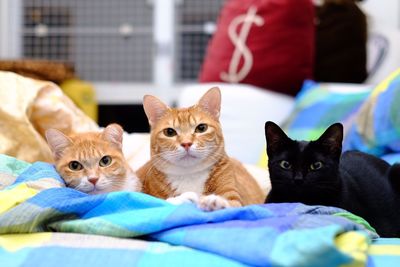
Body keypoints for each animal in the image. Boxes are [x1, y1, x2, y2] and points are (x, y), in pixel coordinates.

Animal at [138, 87, 266, 210]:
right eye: (169, 132)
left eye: (201, 128)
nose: (186, 143)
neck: (189, 176)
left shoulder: (236, 199)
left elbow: (232, 205)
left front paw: (215, 201)